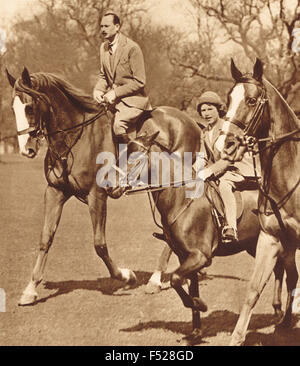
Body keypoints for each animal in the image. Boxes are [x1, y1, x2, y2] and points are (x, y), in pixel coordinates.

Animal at [214, 58, 298, 344]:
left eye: (251, 101)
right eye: (228, 100)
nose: (224, 145)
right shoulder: (271, 239)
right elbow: (253, 290)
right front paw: (237, 337)